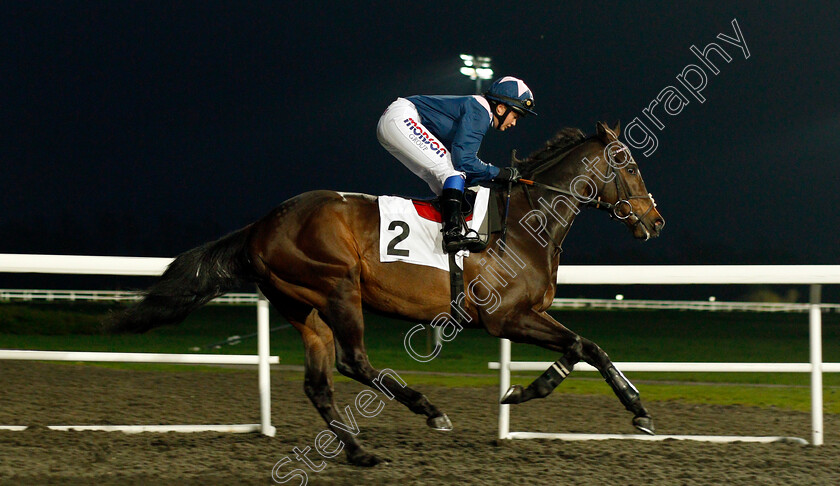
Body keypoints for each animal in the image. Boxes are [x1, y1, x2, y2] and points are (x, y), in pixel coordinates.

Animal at [108, 121, 668, 468]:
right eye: (628, 163)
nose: (655, 220)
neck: (525, 223)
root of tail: (260, 226)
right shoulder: (505, 317)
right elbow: (581, 345)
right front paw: (544, 393)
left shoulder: (526, 315)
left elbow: (585, 347)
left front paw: (623, 405)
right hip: (338, 288)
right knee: (353, 361)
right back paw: (427, 408)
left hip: (302, 307)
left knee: (319, 383)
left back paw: (359, 452)